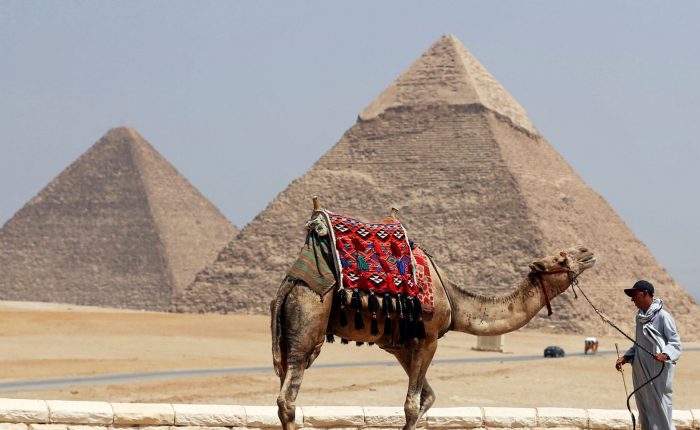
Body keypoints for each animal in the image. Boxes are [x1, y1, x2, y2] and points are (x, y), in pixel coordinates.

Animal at [271, 204, 597, 430]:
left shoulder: (401, 346)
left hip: (288, 335)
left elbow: (426, 398)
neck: (454, 300)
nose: (587, 251)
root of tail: (288, 284)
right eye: (560, 258)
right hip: (309, 321)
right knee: (287, 399)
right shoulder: (428, 338)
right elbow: (412, 405)